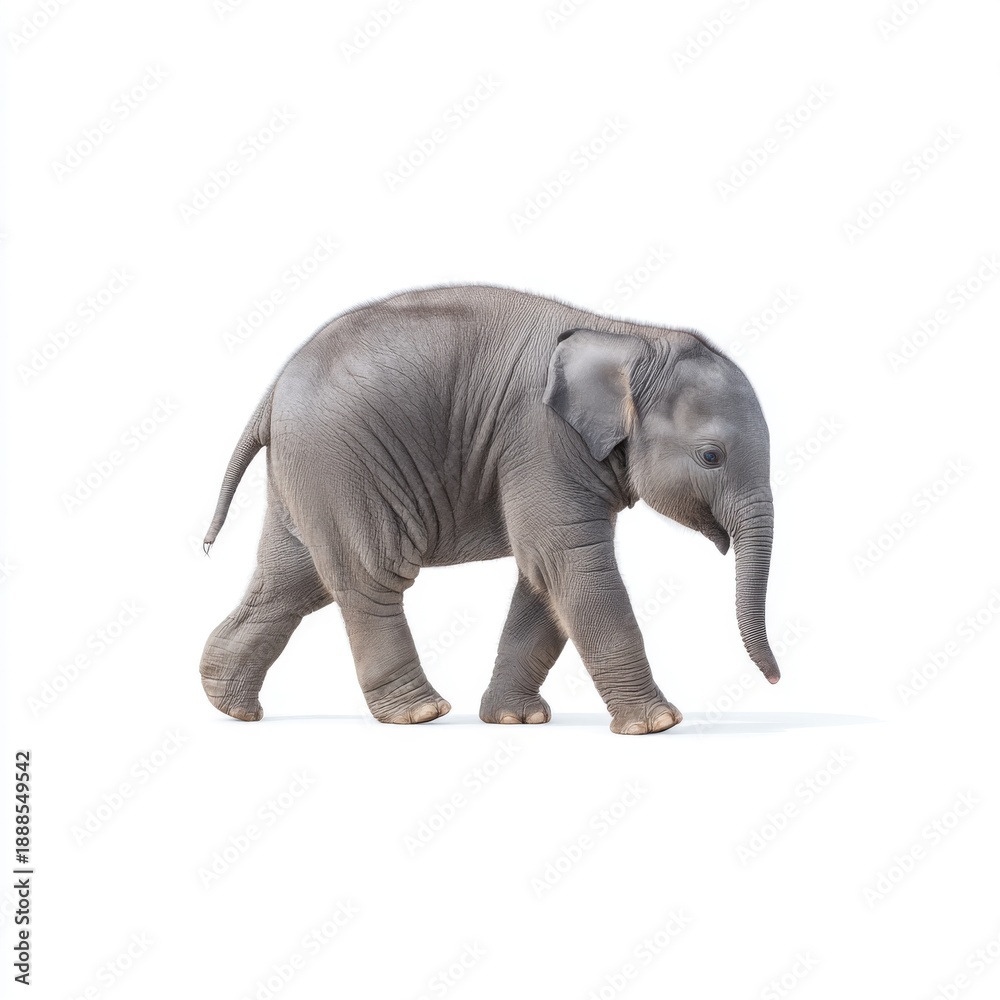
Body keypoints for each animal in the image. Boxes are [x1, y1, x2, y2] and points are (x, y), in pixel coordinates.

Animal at [199, 284, 780, 735]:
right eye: (711, 456)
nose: (775, 681)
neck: (628, 336)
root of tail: (273, 390)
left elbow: (542, 575)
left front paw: (516, 720)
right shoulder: (539, 435)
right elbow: (569, 560)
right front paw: (657, 725)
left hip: (308, 472)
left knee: (293, 579)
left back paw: (231, 707)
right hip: (340, 460)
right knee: (371, 576)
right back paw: (420, 714)